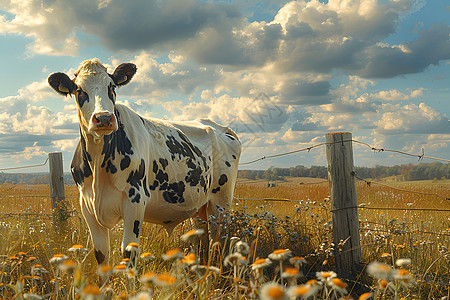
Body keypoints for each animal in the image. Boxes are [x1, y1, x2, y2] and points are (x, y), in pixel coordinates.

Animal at [47, 58, 241, 268]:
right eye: (79, 90)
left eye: (112, 87)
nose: (104, 118)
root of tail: (220, 127)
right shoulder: (87, 205)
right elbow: (100, 253)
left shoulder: (135, 200)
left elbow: (129, 252)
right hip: (199, 204)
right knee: (202, 238)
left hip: (221, 202)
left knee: (219, 240)